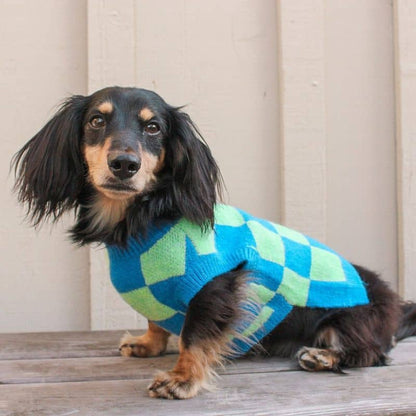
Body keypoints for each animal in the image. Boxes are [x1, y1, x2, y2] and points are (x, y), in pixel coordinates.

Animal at [12, 87, 416, 400]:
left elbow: (194, 335)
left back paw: (324, 356)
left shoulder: (215, 286)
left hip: (347, 319)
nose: (124, 164)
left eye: (153, 127)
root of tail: (394, 305)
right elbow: (156, 320)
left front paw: (182, 379)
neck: (149, 217)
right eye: (96, 120)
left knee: (373, 353)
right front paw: (148, 344)